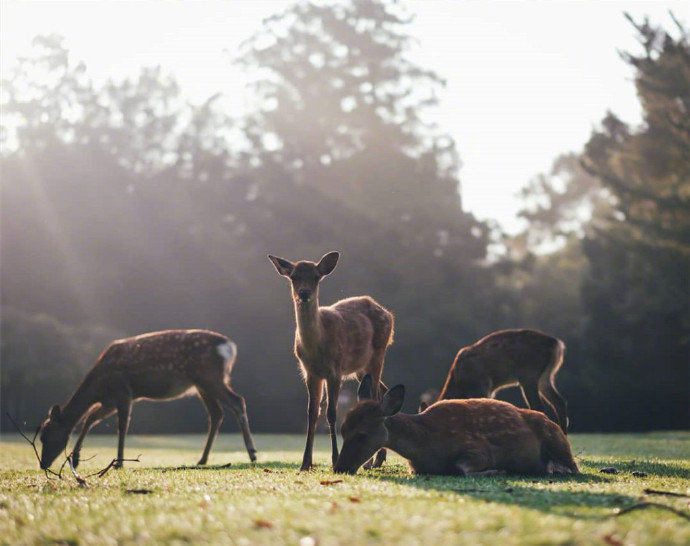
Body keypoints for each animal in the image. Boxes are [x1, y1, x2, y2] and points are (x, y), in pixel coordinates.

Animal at [38, 328, 258, 468]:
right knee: (216, 413)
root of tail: (229, 347)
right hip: (202, 384)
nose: (43, 464)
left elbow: (121, 426)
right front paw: (76, 459)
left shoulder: (123, 392)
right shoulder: (109, 401)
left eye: (46, 435)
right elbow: (90, 419)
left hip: (208, 376)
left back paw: (252, 453)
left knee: (237, 401)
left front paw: (118, 463)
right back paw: (202, 459)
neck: (99, 385)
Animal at [268, 250, 392, 468]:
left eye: (316, 277)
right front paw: (305, 463)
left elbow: (332, 414)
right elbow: (312, 413)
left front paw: (334, 460)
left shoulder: (335, 370)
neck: (317, 347)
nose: (304, 293)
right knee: (381, 392)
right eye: (294, 277)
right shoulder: (310, 372)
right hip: (360, 368)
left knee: (377, 396)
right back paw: (375, 460)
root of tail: (388, 314)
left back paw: (373, 461)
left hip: (378, 354)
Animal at [334, 372, 576, 474]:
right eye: (343, 429)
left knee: (573, 466)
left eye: (362, 433)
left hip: (556, 439)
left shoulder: (479, 449)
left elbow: (462, 467)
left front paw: (497, 470)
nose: (339, 468)